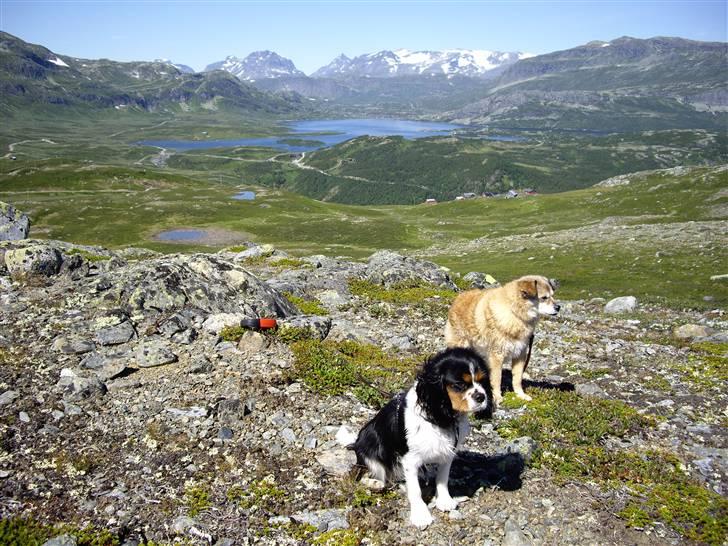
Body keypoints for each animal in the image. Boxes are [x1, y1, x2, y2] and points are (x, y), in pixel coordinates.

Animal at [444, 276, 556, 404]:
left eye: (552, 295)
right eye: (544, 298)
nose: (558, 307)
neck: (515, 313)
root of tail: (458, 298)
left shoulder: (520, 354)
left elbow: (517, 379)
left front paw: (520, 394)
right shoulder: (497, 356)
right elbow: (497, 379)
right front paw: (497, 397)